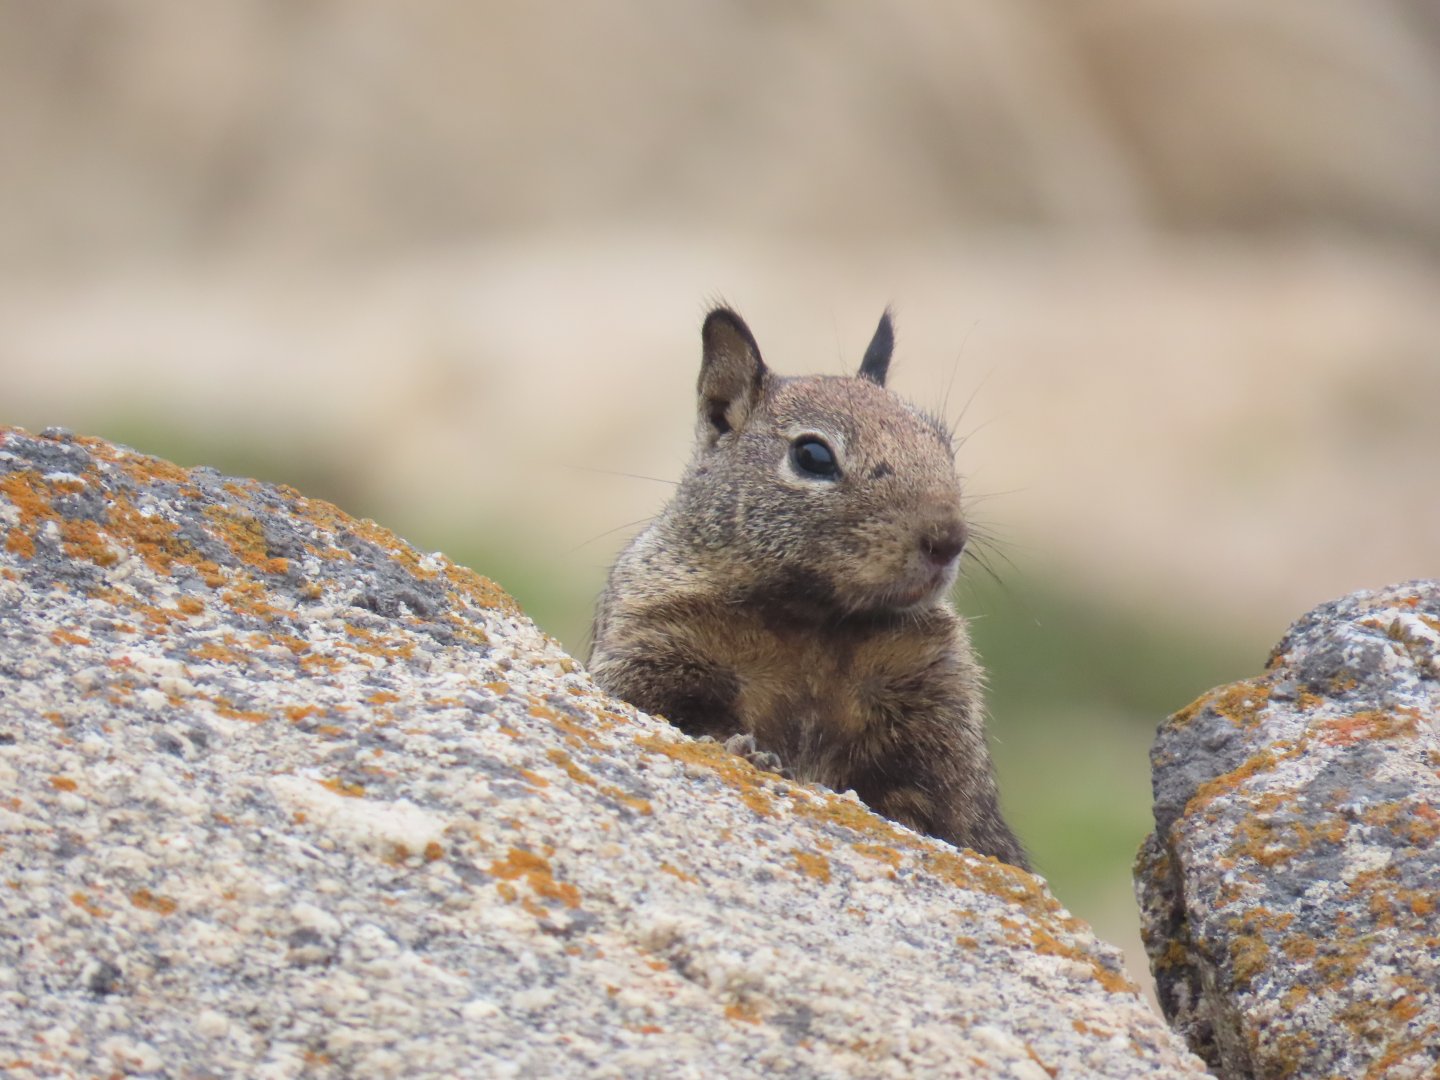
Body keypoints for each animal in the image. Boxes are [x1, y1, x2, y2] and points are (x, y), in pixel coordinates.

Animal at [588, 306, 1027, 869]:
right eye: (813, 456)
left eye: (941, 442)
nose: (948, 539)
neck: (816, 621)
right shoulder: (651, 640)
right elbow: (670, 711)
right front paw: (744, 750)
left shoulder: (935, 699)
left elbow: (940, 805)